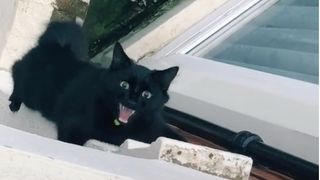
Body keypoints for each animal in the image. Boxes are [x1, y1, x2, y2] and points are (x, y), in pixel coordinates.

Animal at [9, 21, 185, 145]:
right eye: (124, 84)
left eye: (146, 94)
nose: (131, 101)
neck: (120, 125)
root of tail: (57, 45)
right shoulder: (73, 127)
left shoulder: (157, 127)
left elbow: (177, 138)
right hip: (32, 92)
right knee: (16, 68)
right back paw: (14, 102)